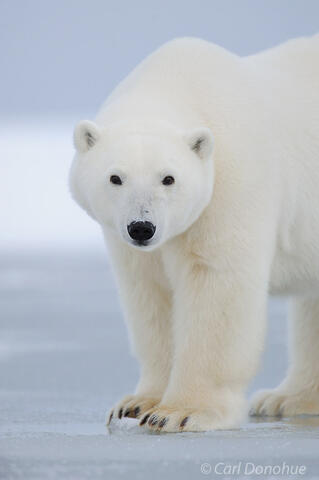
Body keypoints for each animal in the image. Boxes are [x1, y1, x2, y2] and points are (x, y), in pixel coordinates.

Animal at [70, 35, 319, 434]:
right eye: (115, 177)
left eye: (168, 178)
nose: (142, 227)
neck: (179, 83)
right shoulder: (135, 248)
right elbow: (152, 295)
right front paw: (136, 405)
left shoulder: (230, 186)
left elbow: (216, 286)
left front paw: (180, 412)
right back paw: (286, 399)